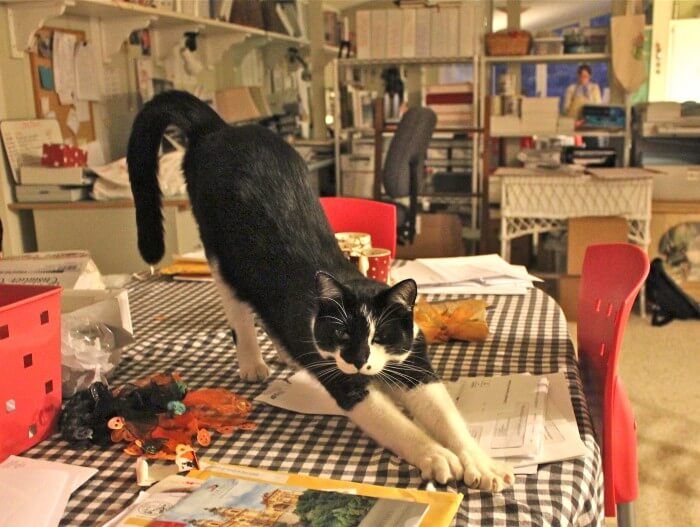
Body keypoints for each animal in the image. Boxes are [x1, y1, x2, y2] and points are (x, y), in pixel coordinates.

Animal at [127, 90, 513, 491]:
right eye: (341, 334)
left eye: (381, 336)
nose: (358, 359)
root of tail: (218, 128)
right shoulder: (348, 383)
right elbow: (398, 426)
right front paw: (437, 456)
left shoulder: (414, 363)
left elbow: (446, 416)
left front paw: (481, 462)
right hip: (220, 254)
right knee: (239, 313)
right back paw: (253, 363)